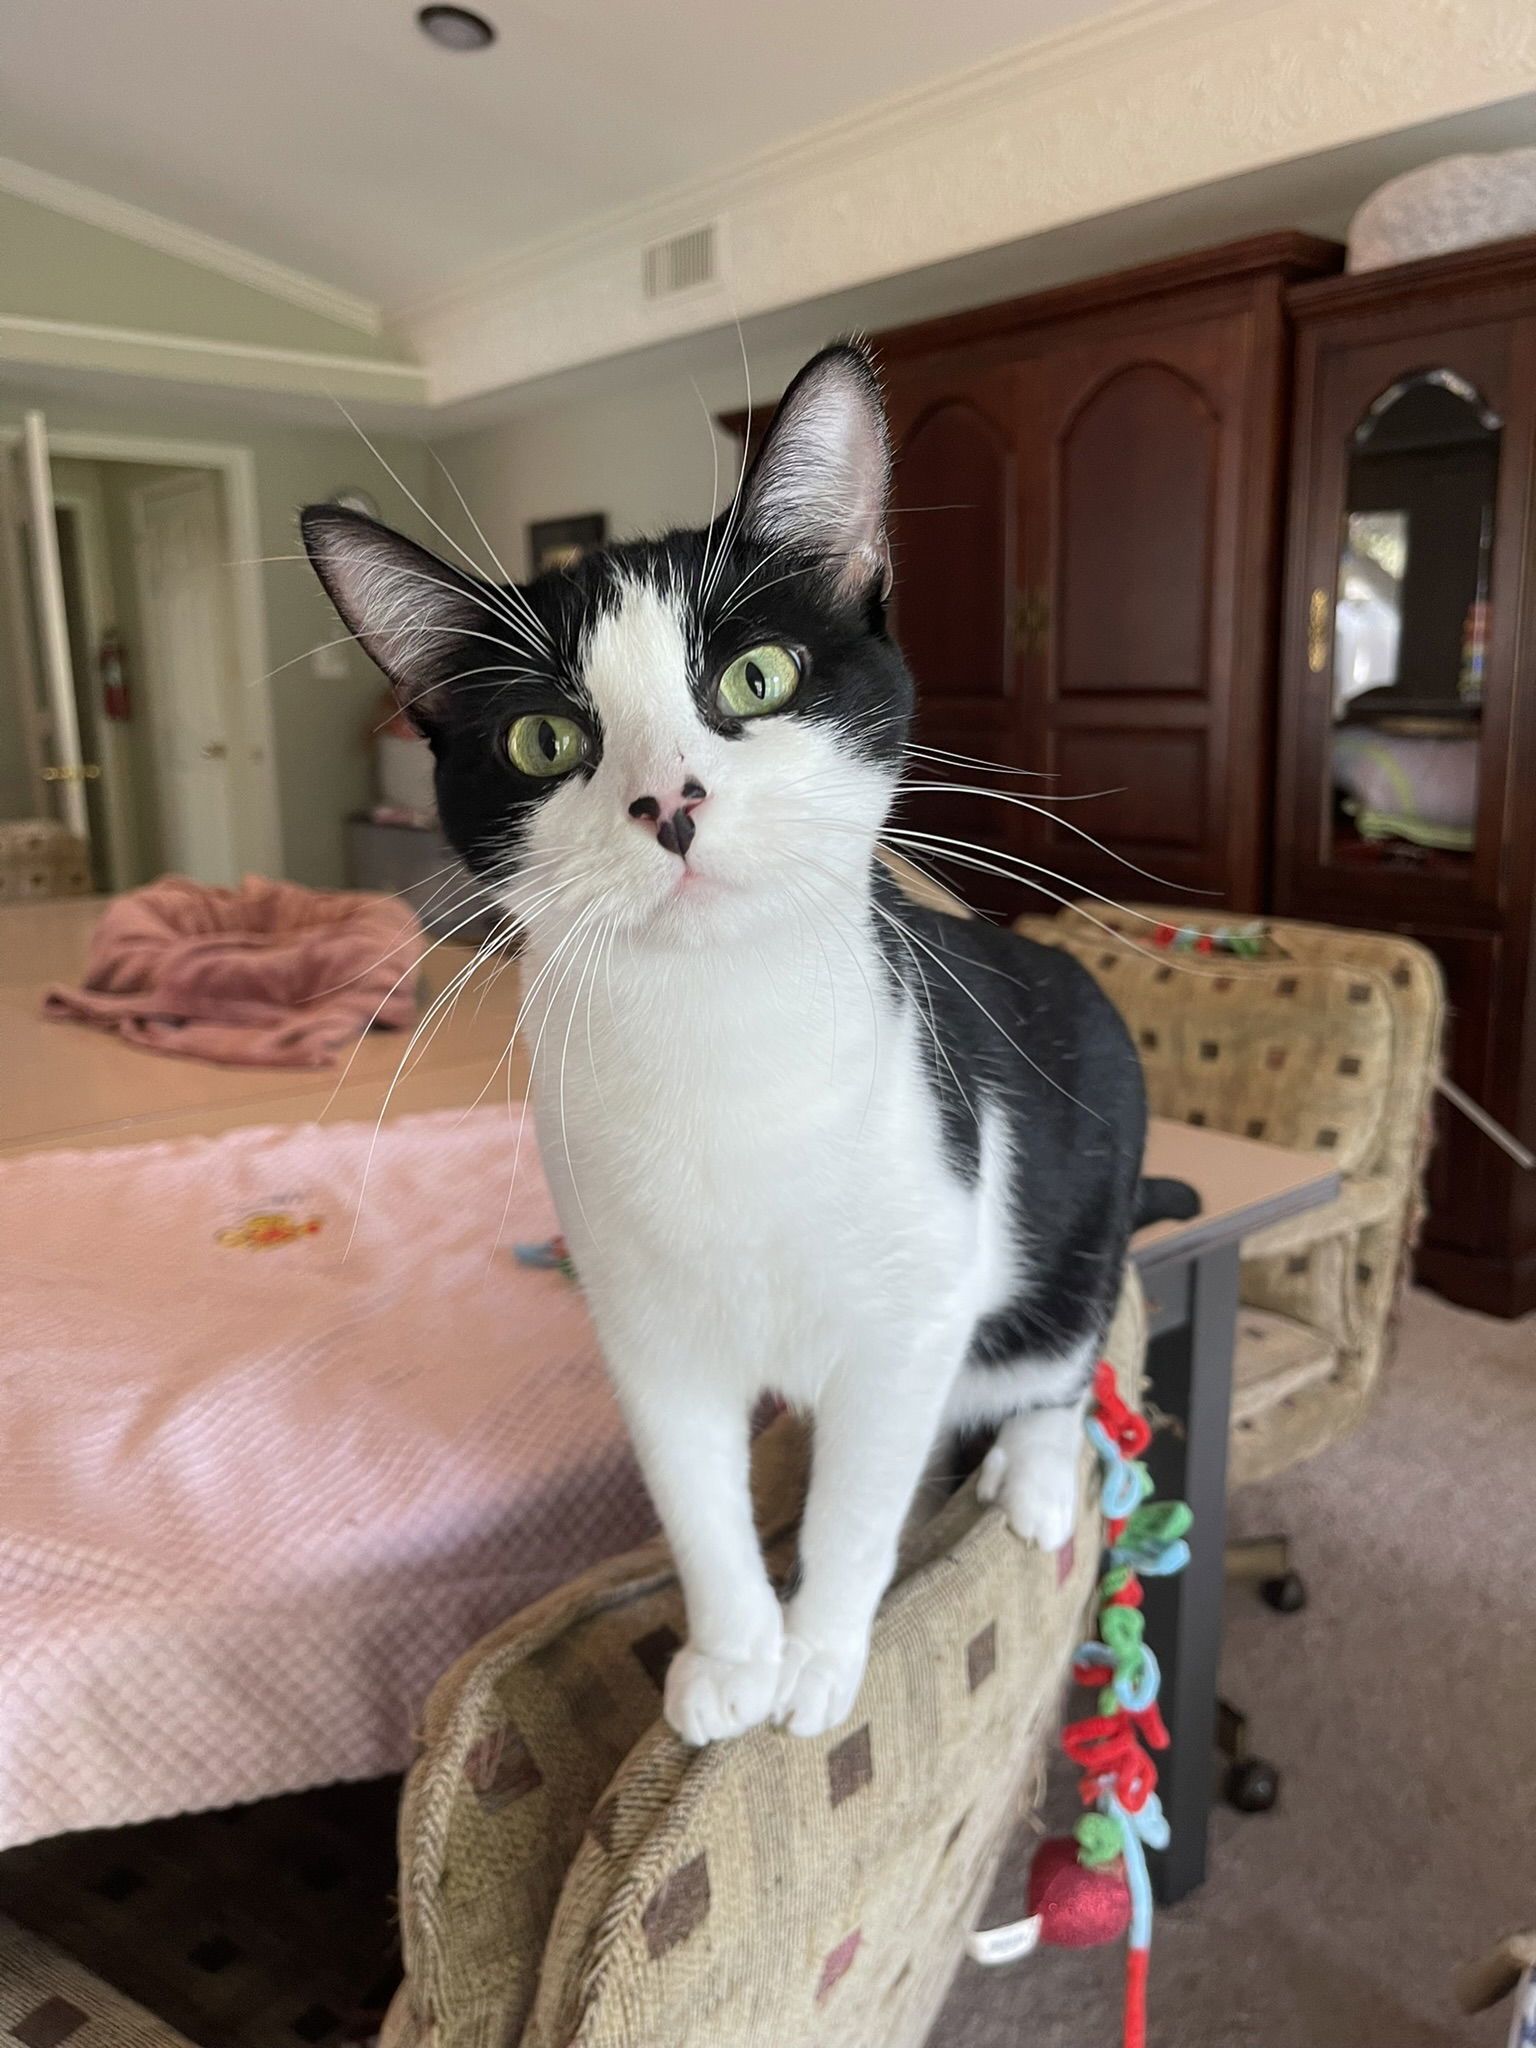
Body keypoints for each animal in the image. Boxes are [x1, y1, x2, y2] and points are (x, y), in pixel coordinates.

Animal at [296, 348, 1163, 1744]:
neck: (719, 1041)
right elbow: (696, 1492)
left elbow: (862, 1500)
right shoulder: (641, 1319)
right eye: (545, 738)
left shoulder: (911, 1306)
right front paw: (732, 1651)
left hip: (1084, 1187)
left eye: (757, 676)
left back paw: (1031, 1473)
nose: (670, 800)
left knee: (1057, 1357)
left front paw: (820, 1653)